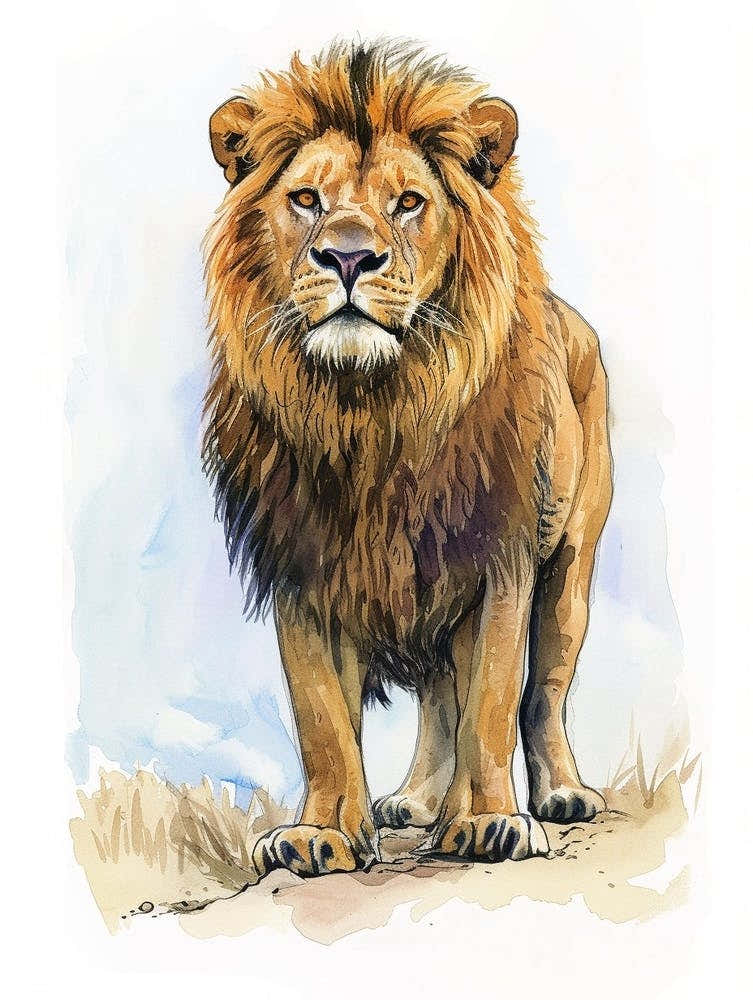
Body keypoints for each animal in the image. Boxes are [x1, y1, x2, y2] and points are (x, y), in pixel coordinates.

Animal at [203, 40, 612, 877]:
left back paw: (557, 794)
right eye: (306, 199)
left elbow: (492, 698)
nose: (347, 257)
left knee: (543, 691)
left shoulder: (495, 557)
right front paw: (319, 832)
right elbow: (323, 716)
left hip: (569, 569)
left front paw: (487, 821)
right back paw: (417, 801)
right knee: (436, 696)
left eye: (409, 203)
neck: (371, 411)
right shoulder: (304, 567)